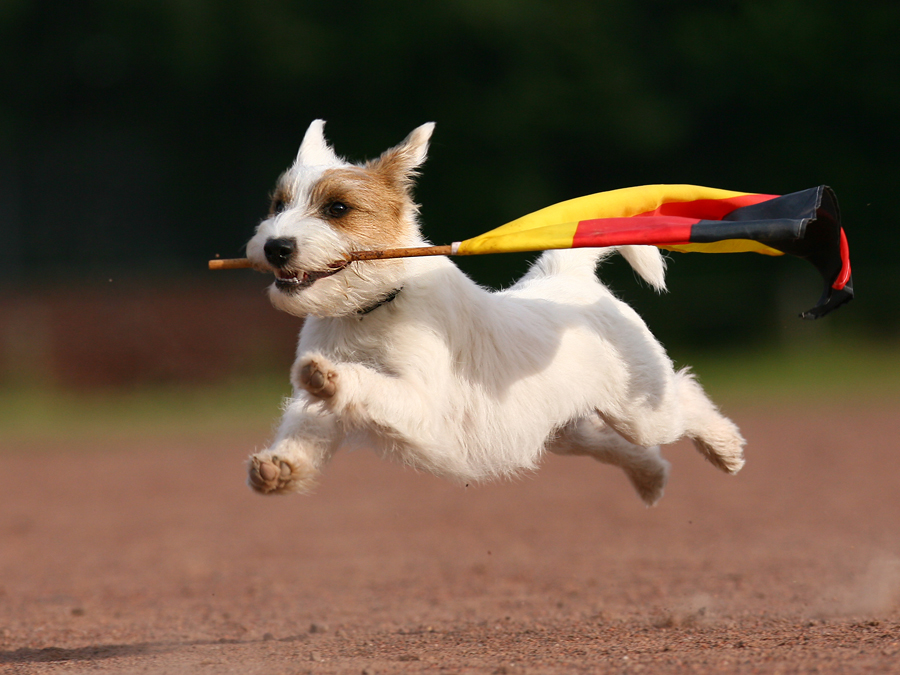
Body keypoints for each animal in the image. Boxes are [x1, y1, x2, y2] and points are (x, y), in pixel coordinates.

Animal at [243, 120, 740, 508]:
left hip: (641, 410)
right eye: (278, 205)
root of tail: (571, 279)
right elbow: (307, 424)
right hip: (566, 429)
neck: (368, 309)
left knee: (685, 396)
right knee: (617, 446)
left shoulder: (420, 402)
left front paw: (331, 377)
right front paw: (281, 466)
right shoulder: (322, 409)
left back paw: (725, 449)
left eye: (338, 208)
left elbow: (363, 382)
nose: (275, 246)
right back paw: (651, 479)